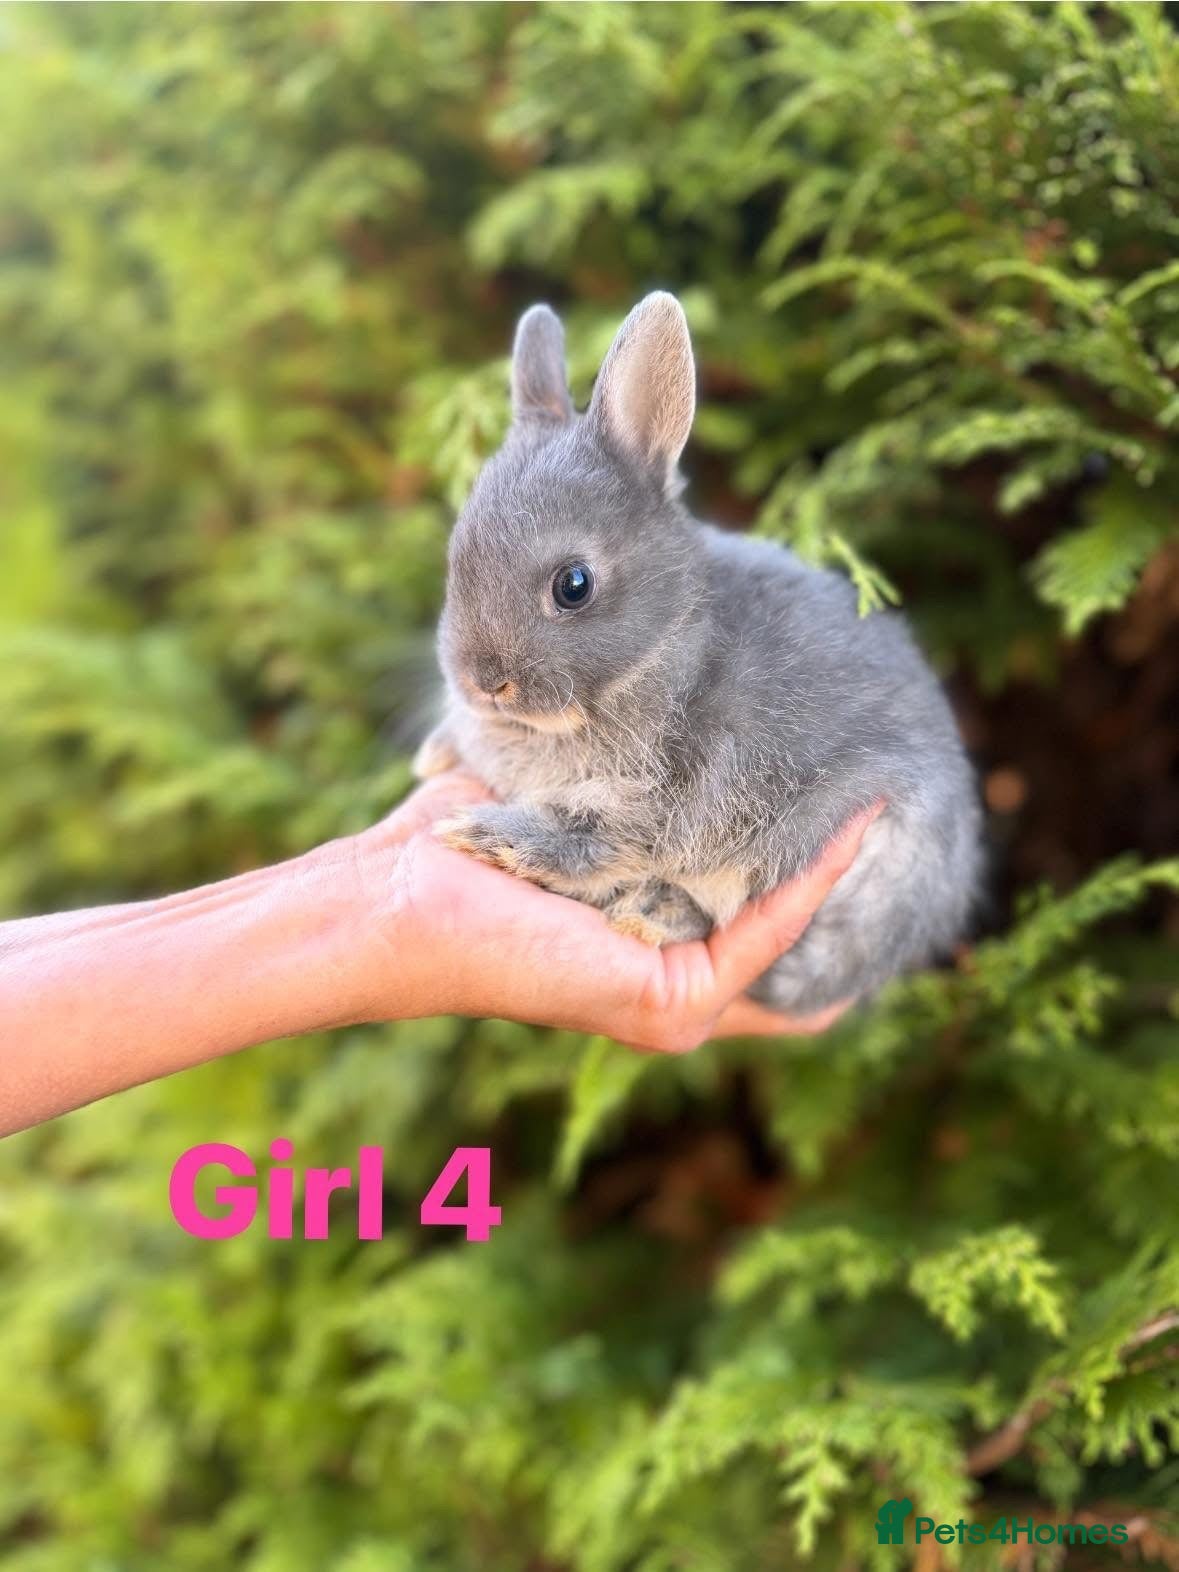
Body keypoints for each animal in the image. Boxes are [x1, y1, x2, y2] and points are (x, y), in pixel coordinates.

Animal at [414, 292, 981, 1014]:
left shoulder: (648, 802)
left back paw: (650, 913)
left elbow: (588, 844)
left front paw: (486, 836)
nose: (483, 682)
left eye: (574, 585)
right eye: (454, 557)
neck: (664, 649)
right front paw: (438, 753)